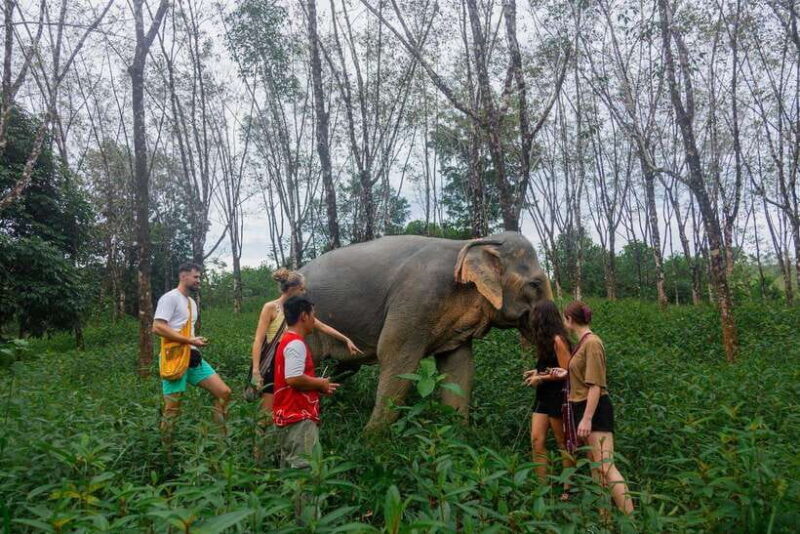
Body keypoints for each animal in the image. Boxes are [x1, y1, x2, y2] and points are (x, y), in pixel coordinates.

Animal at [299, 231, 553, 430]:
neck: (471, 243)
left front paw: (457, 438)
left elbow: (459, 366)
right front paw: (371, 442)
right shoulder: (416, 298)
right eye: (535, 284)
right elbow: (396, 356)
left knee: (343, 368)